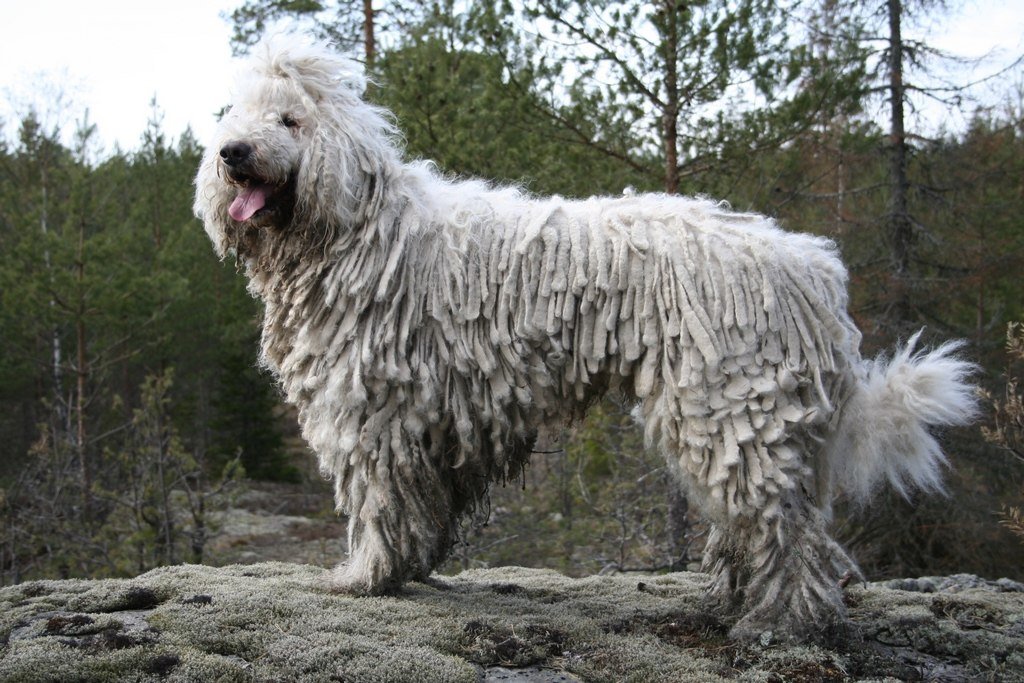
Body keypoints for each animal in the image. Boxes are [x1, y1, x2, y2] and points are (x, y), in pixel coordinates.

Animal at [193, 40, 974, 643]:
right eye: (235, 116)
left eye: (289, 119)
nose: (233, 152)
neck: (354, 233)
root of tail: (815, 272)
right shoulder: (435, 419)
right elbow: (422, 503)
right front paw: (407, 566)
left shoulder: (372, 409)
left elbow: (380, 499)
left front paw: (364, 575)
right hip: (736, 415)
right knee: (765, 517)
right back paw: (734, 598)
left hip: (733, 400)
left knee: (787, 527)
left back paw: (780, 621)